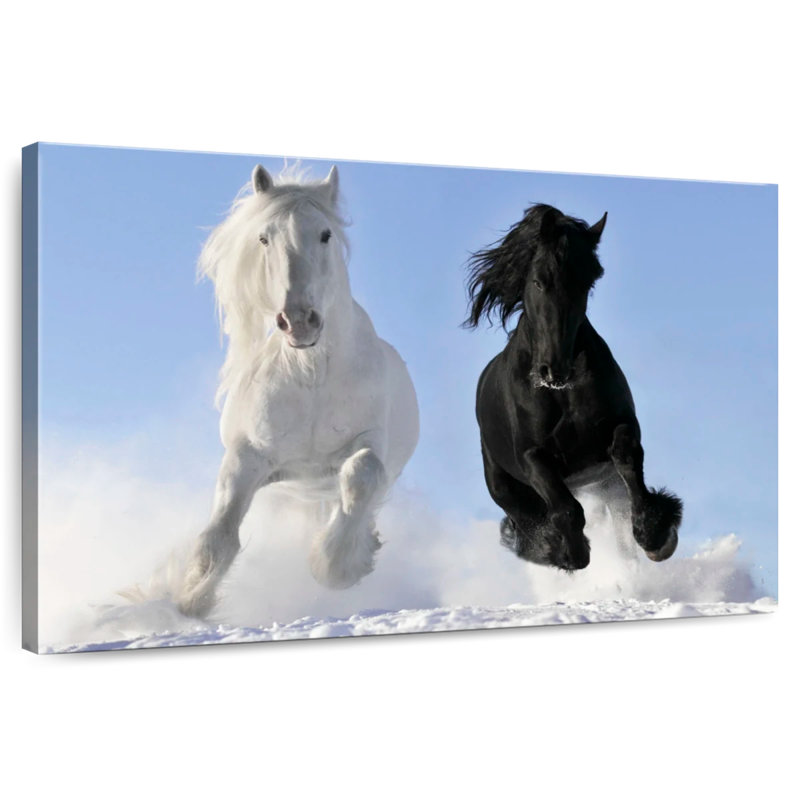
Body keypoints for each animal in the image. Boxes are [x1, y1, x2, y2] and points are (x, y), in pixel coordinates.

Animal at [178, 165, 419, 617]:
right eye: (263, 238)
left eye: (325, 234)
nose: (299, 321)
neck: (311, 376)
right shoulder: (248, 456)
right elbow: (219, 537)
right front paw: (188, 601)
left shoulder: (368, 443)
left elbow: (361, 475)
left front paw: (337, 565)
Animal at [465, 203, 682, 571]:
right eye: (539, 280)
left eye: (588, 282)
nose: (555, 369)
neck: (561, 394)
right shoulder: (532, 456)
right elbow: (565, 509)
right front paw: (570, 552)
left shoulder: (620, 427)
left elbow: (627, 457)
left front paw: (656, 535)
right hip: (506, 488)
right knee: (529, 522)